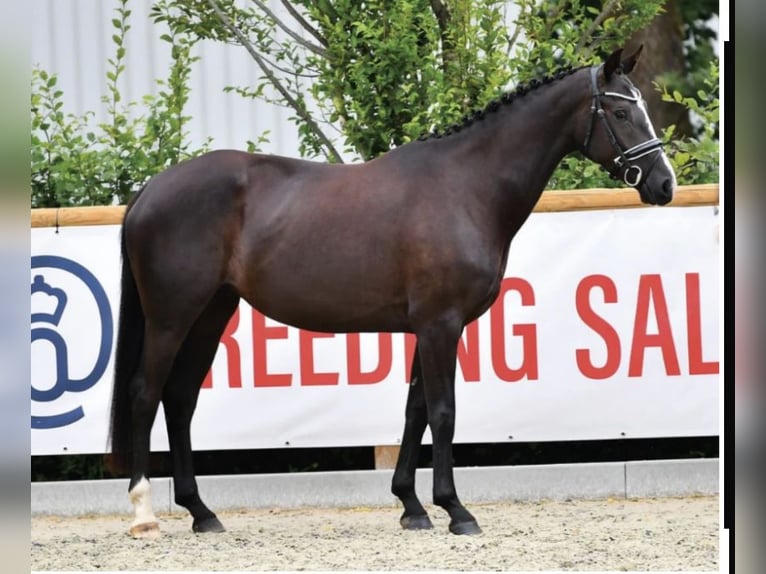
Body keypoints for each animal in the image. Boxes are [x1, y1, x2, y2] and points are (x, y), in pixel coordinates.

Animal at [109, 46, 680, 540]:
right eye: (621, 111)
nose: (664, 184)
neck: (466, 187)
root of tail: (151, 189)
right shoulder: (441, 324)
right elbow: (444, 410)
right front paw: (455, 510)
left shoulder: (426, 326)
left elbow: (416, 410)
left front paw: (411, 505)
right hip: (171, 316)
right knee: (145, 393)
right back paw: (144, 513)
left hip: (211, 312)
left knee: (180, 399)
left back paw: (201, 512)